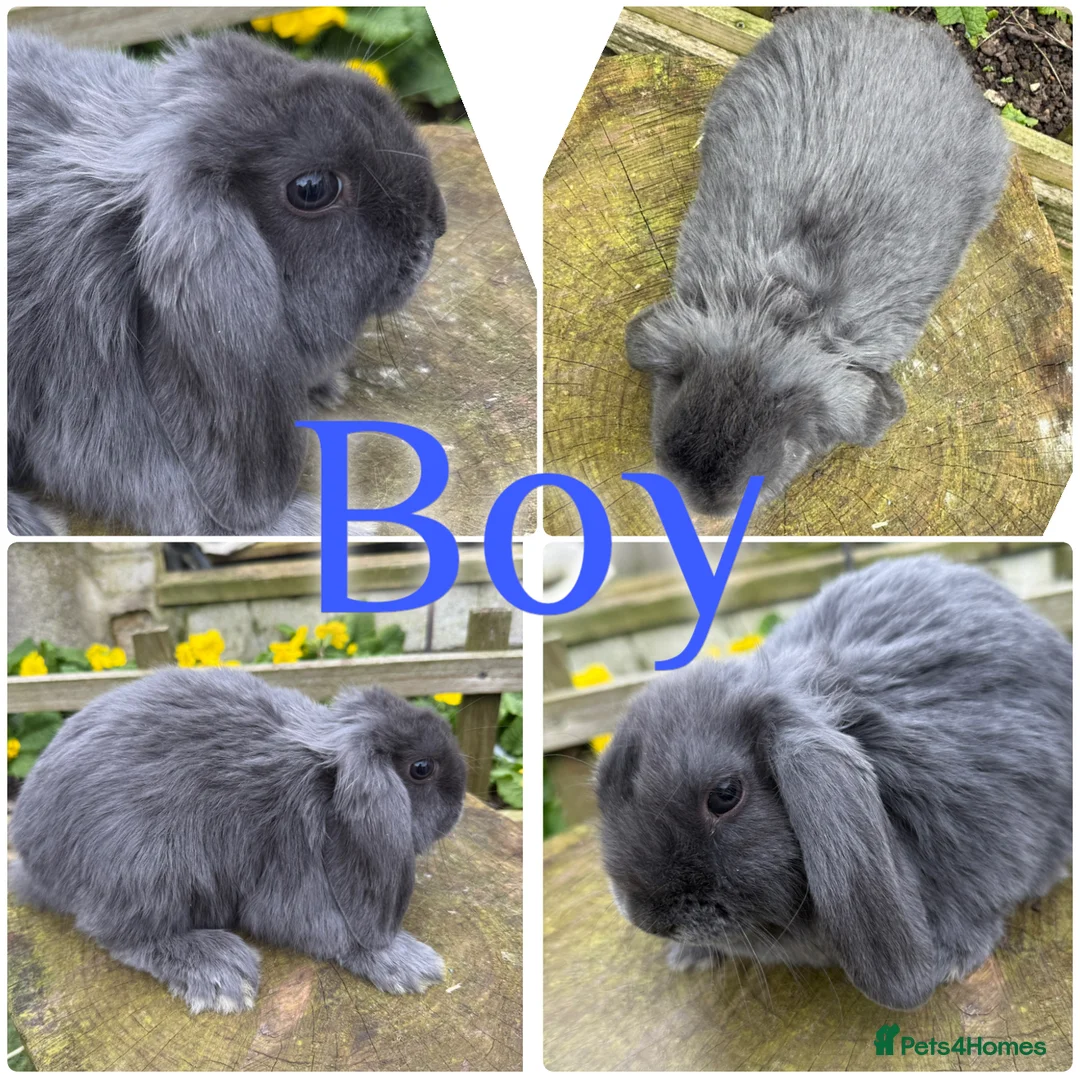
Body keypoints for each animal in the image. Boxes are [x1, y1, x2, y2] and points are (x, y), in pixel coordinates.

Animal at [8, 30, 446, 535]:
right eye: (312, 189)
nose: (436, 228)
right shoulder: (87, 380)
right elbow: (164, 493)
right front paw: (318, 524)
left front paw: (326, 388)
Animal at [10, 668, 467, 1013]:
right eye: (421, 769)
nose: (459, 804)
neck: (327, 783)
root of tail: (32, 859)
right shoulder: (293, 868)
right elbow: (334, 931)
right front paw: (413, 966)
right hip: (145, 871)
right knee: (122, 936)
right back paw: (221, 973)